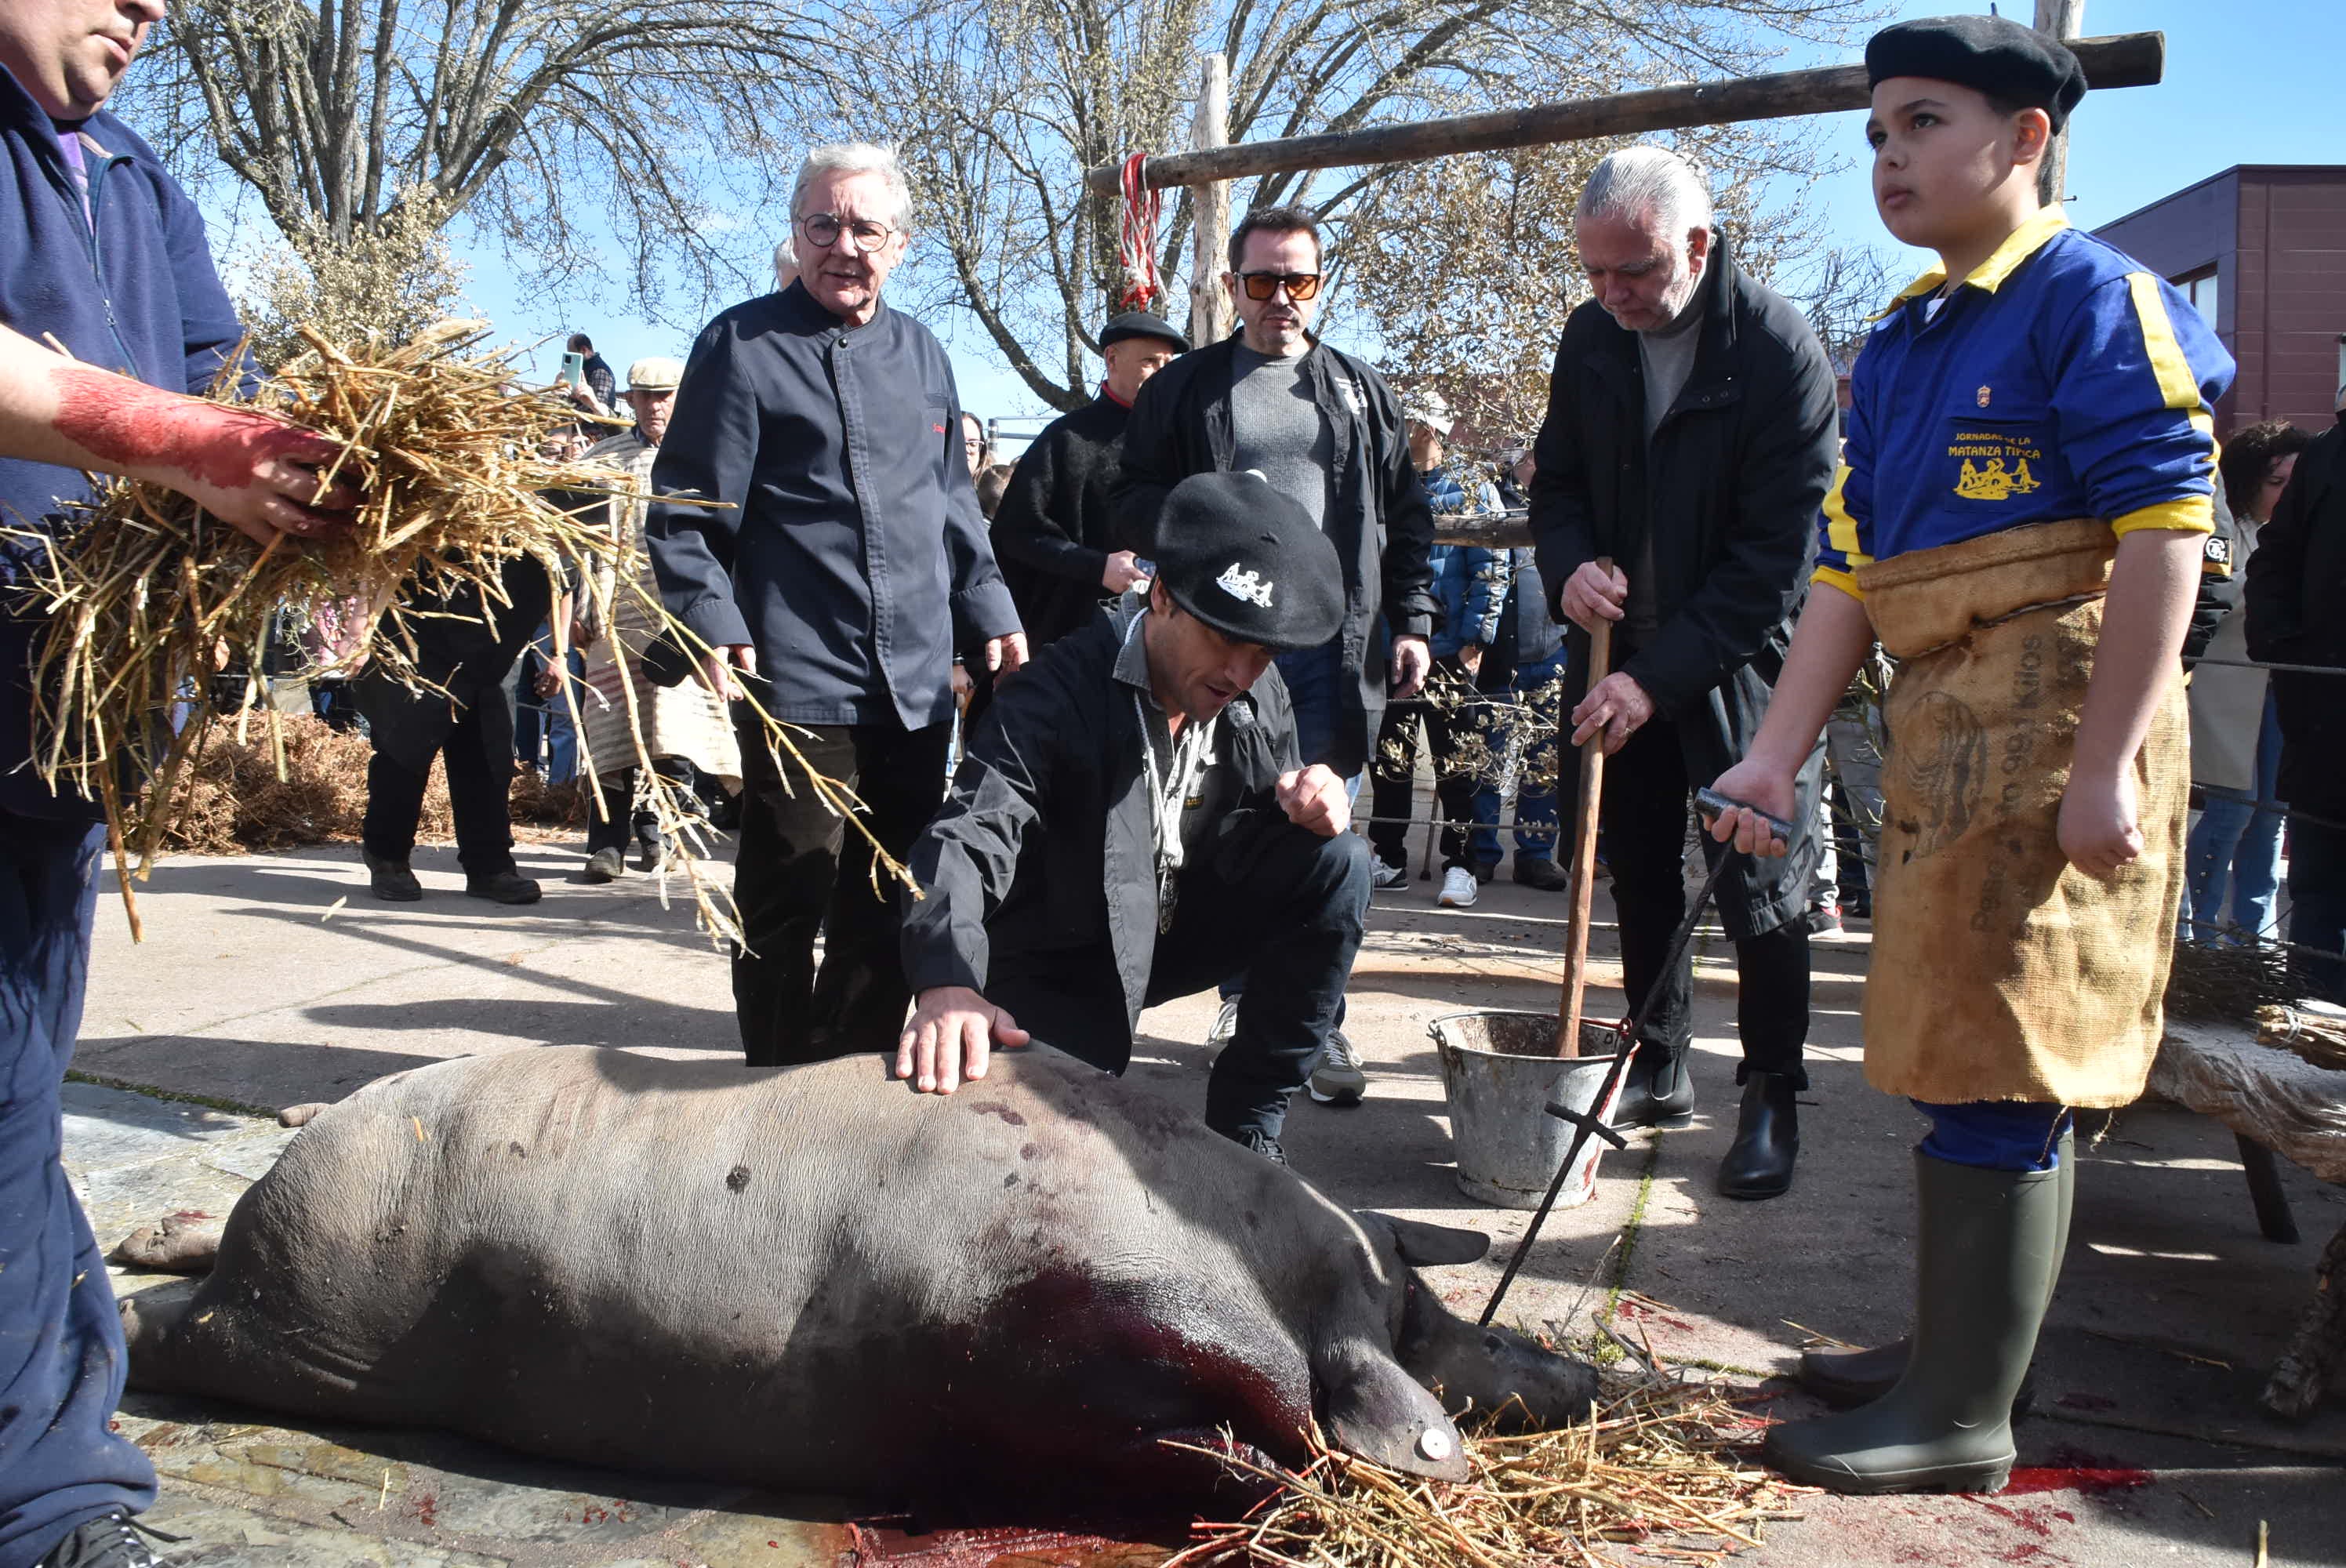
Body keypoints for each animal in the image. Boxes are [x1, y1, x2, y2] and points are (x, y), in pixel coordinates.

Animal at [114, 1047, 1595, 1502]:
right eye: (1429, 1318)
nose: (1576, 1375)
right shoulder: (1020, 1316)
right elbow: (1258, 1402)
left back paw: (145, 1242)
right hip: (311, 1313)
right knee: (178, 1334)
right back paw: (117, 1306)